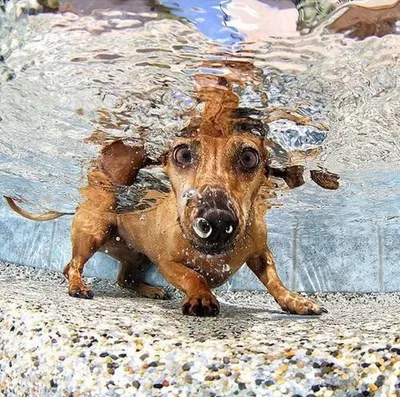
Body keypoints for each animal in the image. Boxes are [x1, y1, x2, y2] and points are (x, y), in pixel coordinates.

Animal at [6, 69, 338, 316]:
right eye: (182, 154)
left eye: (248, 157)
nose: (216, 221)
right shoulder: (168, 264)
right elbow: (193, 276)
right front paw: (201, 296)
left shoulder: (260, 254)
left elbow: (275, 282)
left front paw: (294, 301)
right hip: (94, 233)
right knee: (73, 265)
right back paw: (78, 285)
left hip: (135, 257)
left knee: (123, 278)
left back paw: (149, 290)